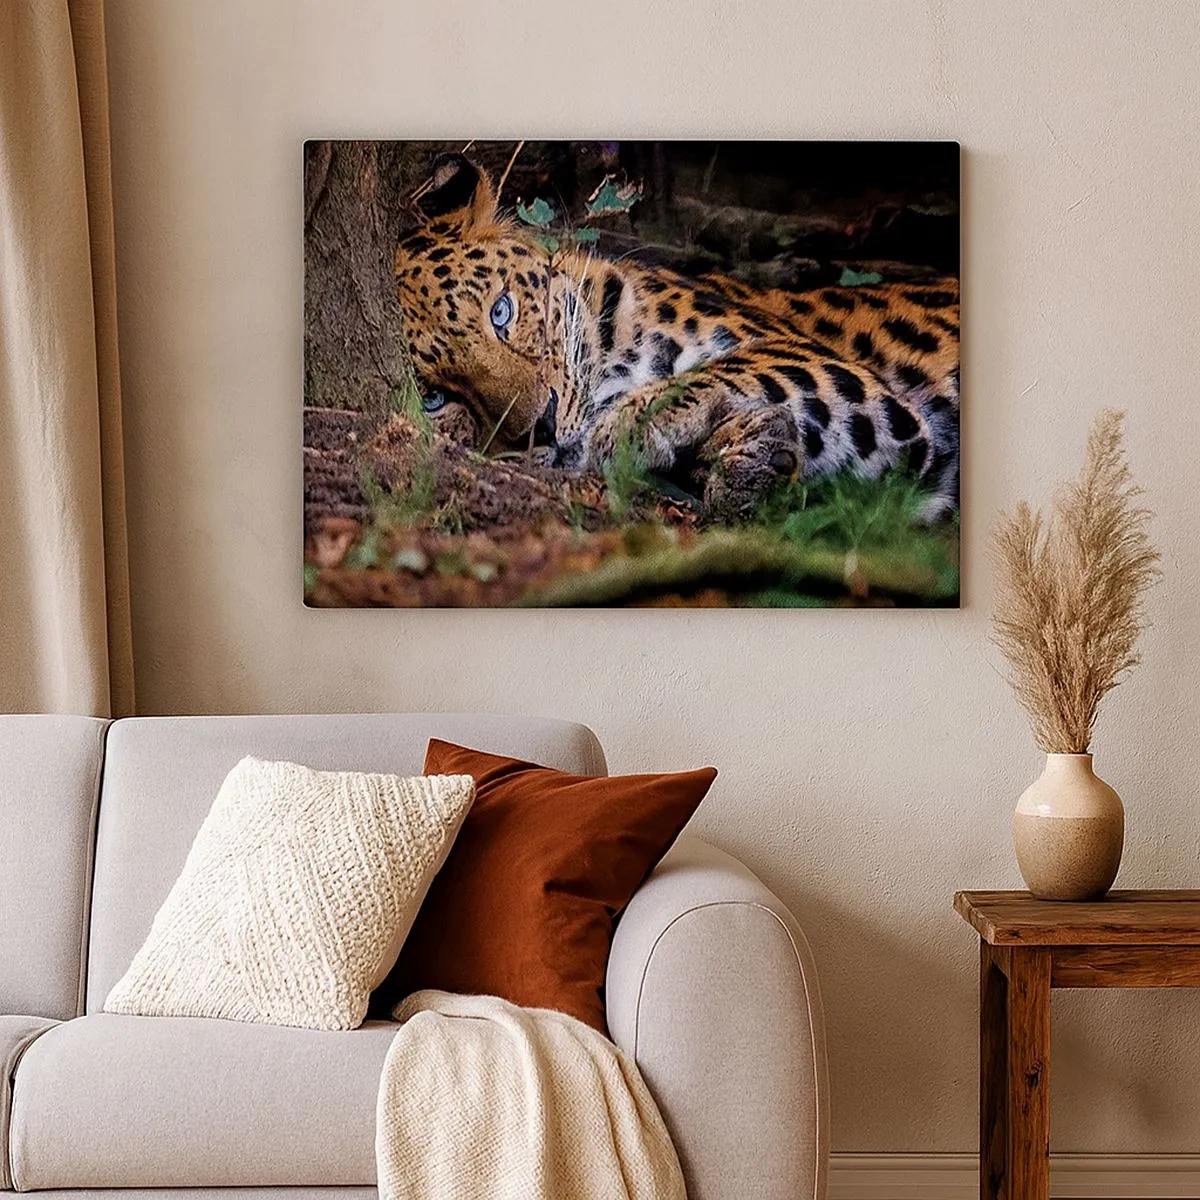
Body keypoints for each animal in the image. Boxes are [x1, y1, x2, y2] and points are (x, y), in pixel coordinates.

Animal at [394, 154, 959, 521]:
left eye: (502, 311)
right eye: (433, 399)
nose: (543, 426)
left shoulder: (816, 360)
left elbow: (738, 365)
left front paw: (636, 421)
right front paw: (757, 460)